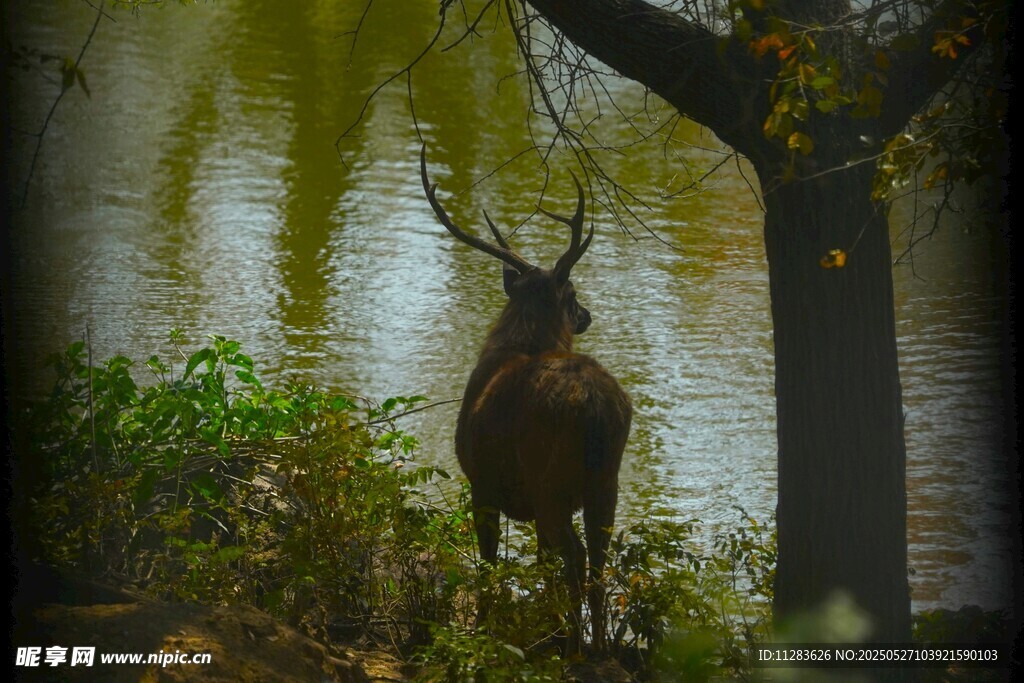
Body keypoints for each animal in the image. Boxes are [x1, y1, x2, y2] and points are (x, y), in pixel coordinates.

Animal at [419, 144, 632, 655]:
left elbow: (490, 562)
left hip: (549, 479)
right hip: (606, 480)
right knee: (597, 557)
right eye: (573, 293)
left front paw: (483, 629)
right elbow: (538, 565)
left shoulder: (481, 481)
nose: (586, 315)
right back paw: (595, 645)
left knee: (575, 554)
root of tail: (596, 411)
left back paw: (574, 644)